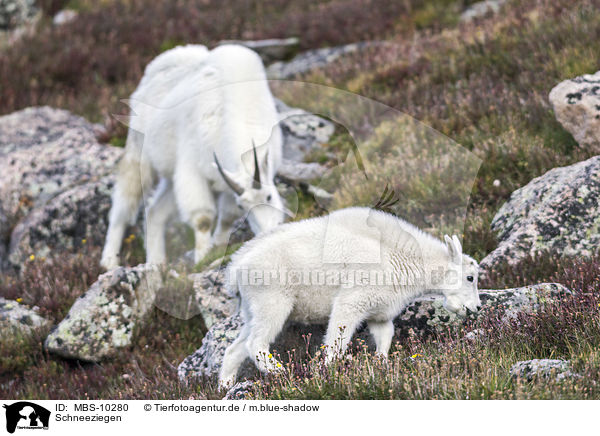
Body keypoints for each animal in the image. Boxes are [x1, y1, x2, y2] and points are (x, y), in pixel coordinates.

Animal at [101, 44, 286, 270]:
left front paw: (219, 244)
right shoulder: (193, 170)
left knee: (155, 212)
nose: (269, 231)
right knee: (124, 204)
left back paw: (156, 264)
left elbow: (227, 216)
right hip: (138, 153)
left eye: (268, 197)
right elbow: (203, 219)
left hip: (170, 178)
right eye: (244, 206)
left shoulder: (228, 180)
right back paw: (109, 260)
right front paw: (203, 257)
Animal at [218, 207, 480, 384]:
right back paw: (280, 371)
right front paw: (327, 372)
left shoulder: (379, 312)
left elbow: (385, 336)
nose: (476, 308)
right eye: (470, 277)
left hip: (252, 309)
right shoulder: (352, 301)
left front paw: (381, 364)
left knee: (235, 349)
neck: (400, 257)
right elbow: (336, 342)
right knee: (255, 343)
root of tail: (236, 268)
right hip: (272, 301)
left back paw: (225, 386)